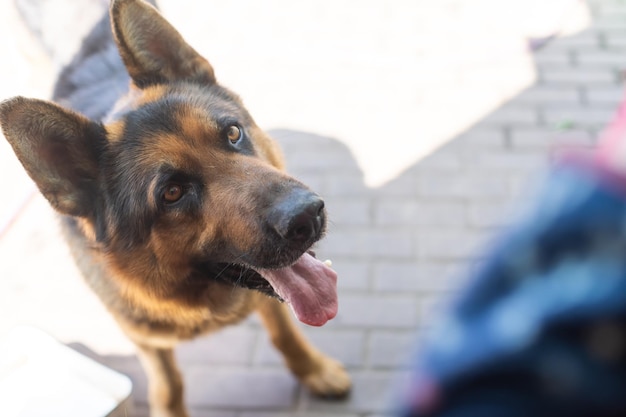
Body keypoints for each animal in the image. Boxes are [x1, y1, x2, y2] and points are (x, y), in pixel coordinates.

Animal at [0, 1, 352, 414]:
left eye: (233, 133)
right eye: (172, 193)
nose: (308, 216)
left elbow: (286, 335)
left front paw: (313, 370)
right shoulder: (145, 341)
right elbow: (168, 385)